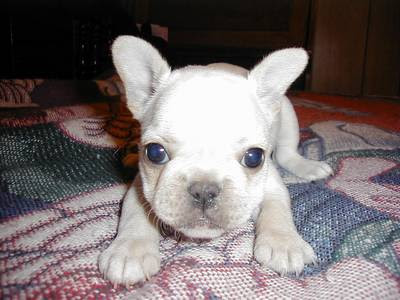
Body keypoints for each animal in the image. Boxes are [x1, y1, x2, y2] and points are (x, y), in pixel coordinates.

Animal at [98, 36, 332, 284]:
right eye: (154, 153)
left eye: (254, 157)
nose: (204, 190)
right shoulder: (139, 187)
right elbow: (134, 213)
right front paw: (130, 250)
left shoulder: (271, 183)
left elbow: (277, 208)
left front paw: (284, 243)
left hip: (287, 116)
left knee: (287, 152)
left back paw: (308, 166)